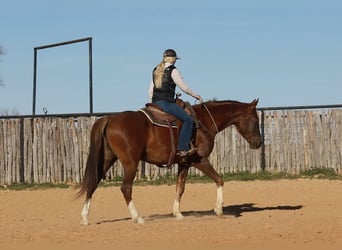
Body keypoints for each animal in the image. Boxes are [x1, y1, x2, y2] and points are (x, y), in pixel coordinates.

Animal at [77, 99, 262, 225]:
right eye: (256, 120)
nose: (259, 143)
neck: (203, 122)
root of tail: (109, 119)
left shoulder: (184, 163)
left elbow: (180, 188)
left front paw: (177, 213)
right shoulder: (199, 160)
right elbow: (219, 179)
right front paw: (218, 209)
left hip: (107, 159)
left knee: (93, 183)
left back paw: (85, 218)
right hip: (130, 163)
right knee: (126, 188)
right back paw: (138, 217)